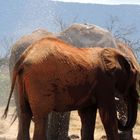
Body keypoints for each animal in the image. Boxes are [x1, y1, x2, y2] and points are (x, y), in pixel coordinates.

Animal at [3, 36, 139, 139]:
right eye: (136, 77)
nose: (121, 120)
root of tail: (24, 57)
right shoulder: (104, 81)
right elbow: (107, 114)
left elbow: (87, 114)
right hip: (39, 81)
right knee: (41, 115)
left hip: (22, 82)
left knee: (25, 114)